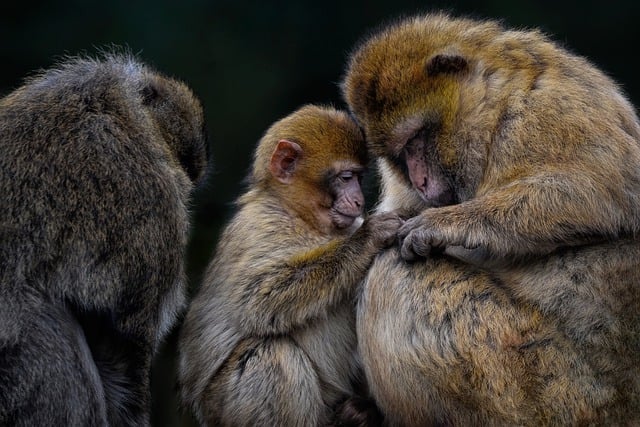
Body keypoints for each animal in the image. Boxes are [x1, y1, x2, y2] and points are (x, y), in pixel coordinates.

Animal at [179, 104, 400, 427]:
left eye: (359, 178)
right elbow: (258, 299)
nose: (359, 200)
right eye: (346, 177)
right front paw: (368, 238)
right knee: (270, 352)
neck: (299, 216)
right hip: (221, 406)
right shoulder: (260, 227)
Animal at [340, 11, 640, 426]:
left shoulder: (542, 113)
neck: (496, 102)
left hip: (552, 388)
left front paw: (446, 223)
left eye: (417, 139)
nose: (419, 180)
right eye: (399, 156)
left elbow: (605, 190)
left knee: (394, 275)